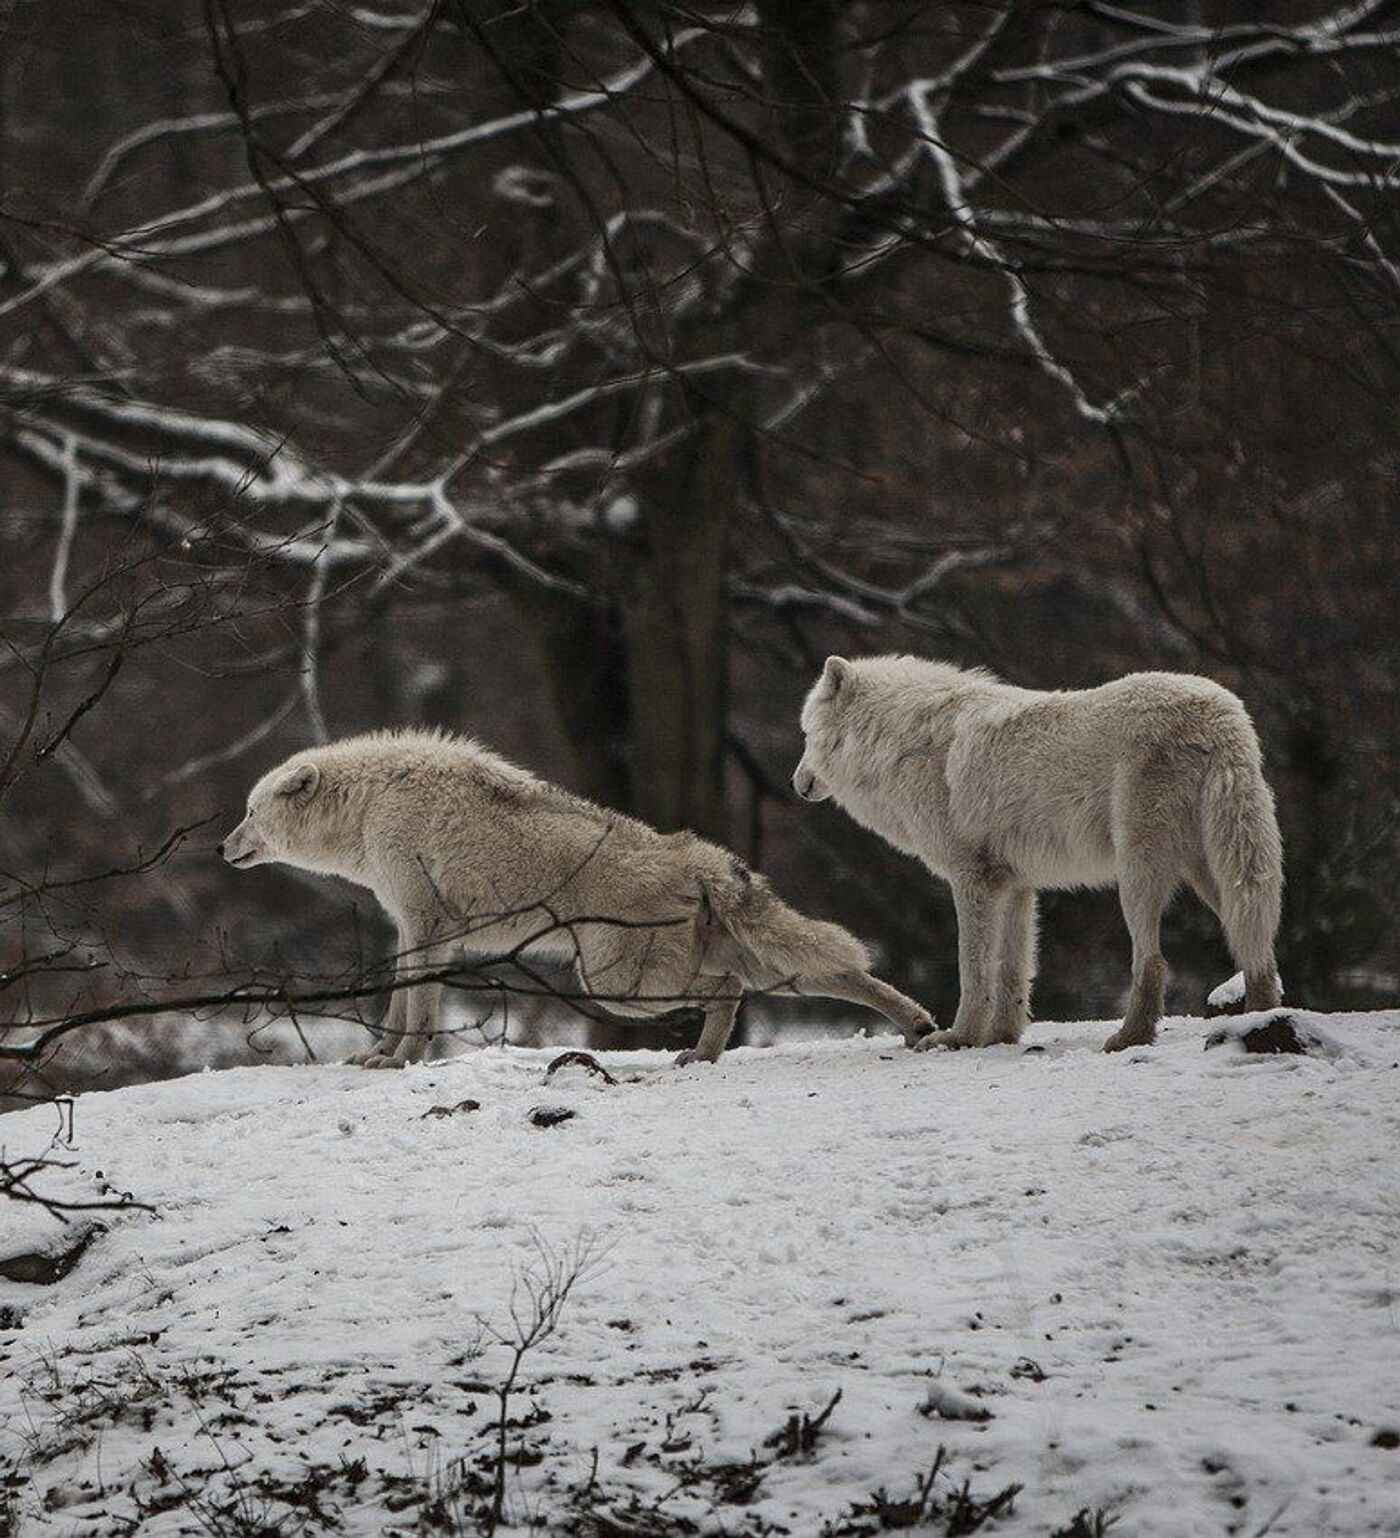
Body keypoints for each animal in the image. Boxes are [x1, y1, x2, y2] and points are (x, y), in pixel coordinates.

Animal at [224, 725, 935, 1064]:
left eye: (251, 812)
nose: (224, 847)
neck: (374, 804)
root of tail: (704, 857)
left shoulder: (424, 925)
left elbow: (417, 1011)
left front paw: (398, 1062)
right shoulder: (417, 931)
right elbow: (401, 1002)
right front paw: (378, 1054)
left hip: (617, 984)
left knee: (728, 989)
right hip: (748, 971)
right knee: (838, 977)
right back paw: (919, 1027)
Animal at [787, 655, 1280, 1051]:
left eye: (808, 734)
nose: (797, 783)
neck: (905, 744)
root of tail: (1222, 713)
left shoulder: (971, 879)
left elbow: (972, 969)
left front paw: (960, 1036)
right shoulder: (1016, 885)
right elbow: (1012, 970)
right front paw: (1000, 1037)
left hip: (1139, 874)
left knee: (1154, 961)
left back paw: (1129, 1037)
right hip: (1216, 873)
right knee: (1256, 943)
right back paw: (1260, 1020)